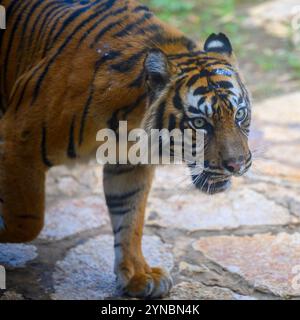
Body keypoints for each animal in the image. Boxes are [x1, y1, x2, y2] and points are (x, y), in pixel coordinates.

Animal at [0, 0, 252, 298]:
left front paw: (138, 276)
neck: (129, 122)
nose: (237, 165)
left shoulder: (129, 163)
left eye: (240, 114)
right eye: (200, 123)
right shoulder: (17, 141)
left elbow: (129, 219)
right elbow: (28, 221)